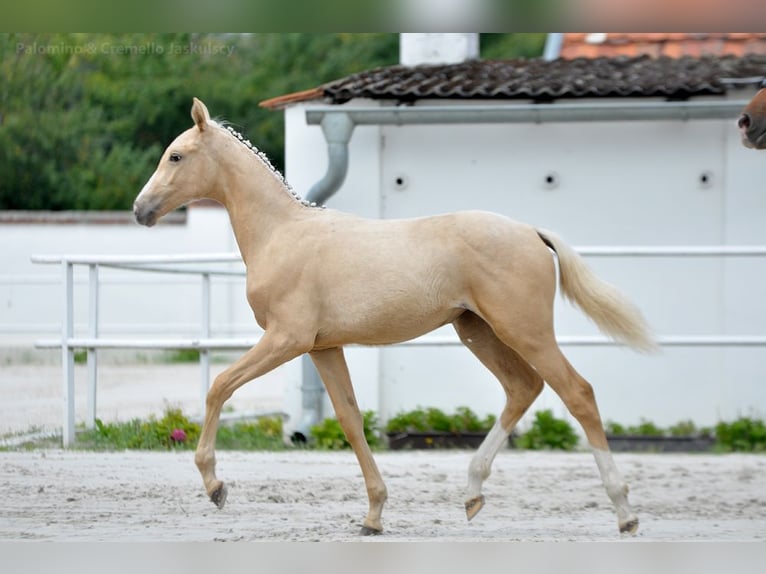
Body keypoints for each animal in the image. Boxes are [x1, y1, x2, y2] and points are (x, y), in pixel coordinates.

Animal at [133, 98, 655, 536]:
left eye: (176, 156)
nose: (141, 210)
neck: (281, 234)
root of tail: (531, 231)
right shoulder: (323, 347)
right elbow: (350, 420)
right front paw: (374, 515)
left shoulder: (287, 339)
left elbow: (219, 385)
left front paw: (215, 487)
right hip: (478, 331)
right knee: (523, 388)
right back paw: (472, 494)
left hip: (524, 331)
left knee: (577, 392)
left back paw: (625, 513)